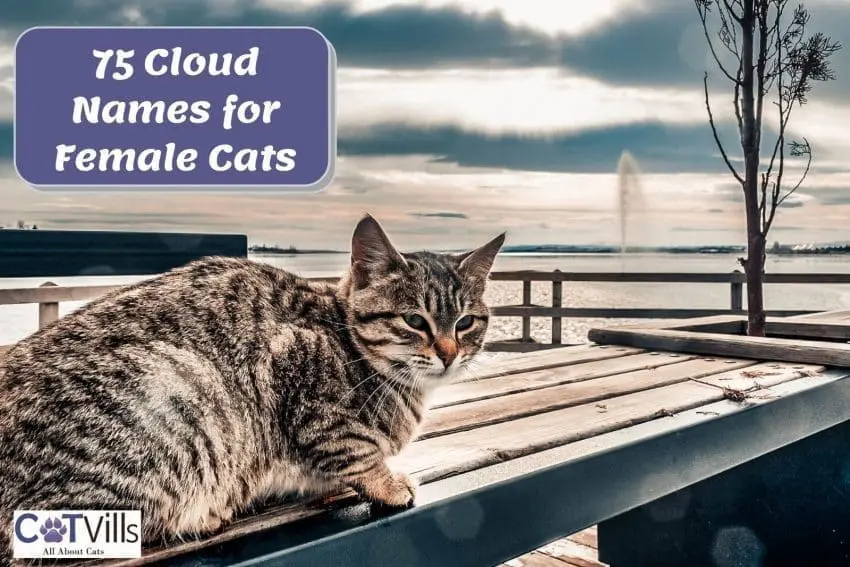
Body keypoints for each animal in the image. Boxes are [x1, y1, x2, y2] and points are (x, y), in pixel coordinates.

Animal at [0, 215, 504, 560]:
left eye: (465, 322)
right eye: (415, 320)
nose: (449, 353)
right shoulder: (299, 376)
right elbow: (354, 450)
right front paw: (387, 482)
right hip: (181, 387)